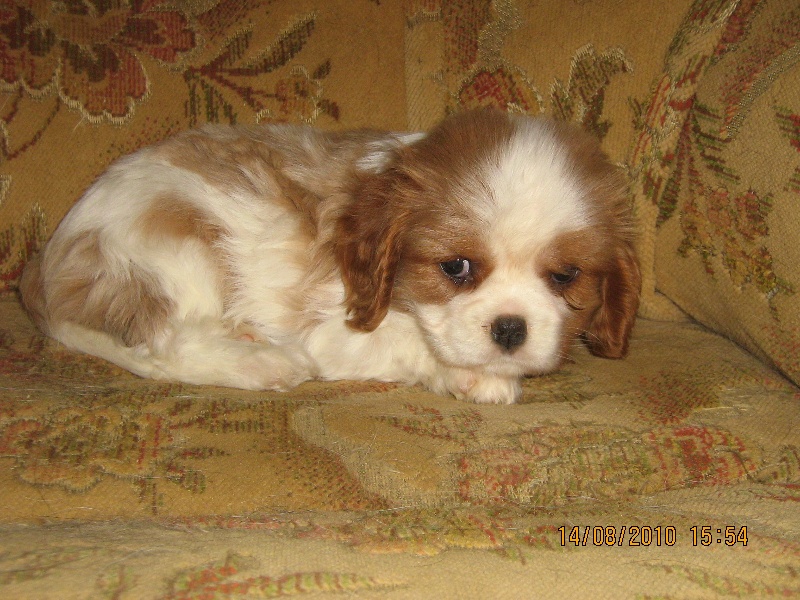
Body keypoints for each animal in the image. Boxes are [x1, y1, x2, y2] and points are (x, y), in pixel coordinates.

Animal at [18, 110, 640, 406]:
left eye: (565, 276)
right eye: (456, 268)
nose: (510, 329)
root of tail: (45, 268)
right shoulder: (329, 327)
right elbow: (410, 341)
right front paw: (474, 375)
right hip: (176, 244)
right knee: (162, 342)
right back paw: (263, 361)